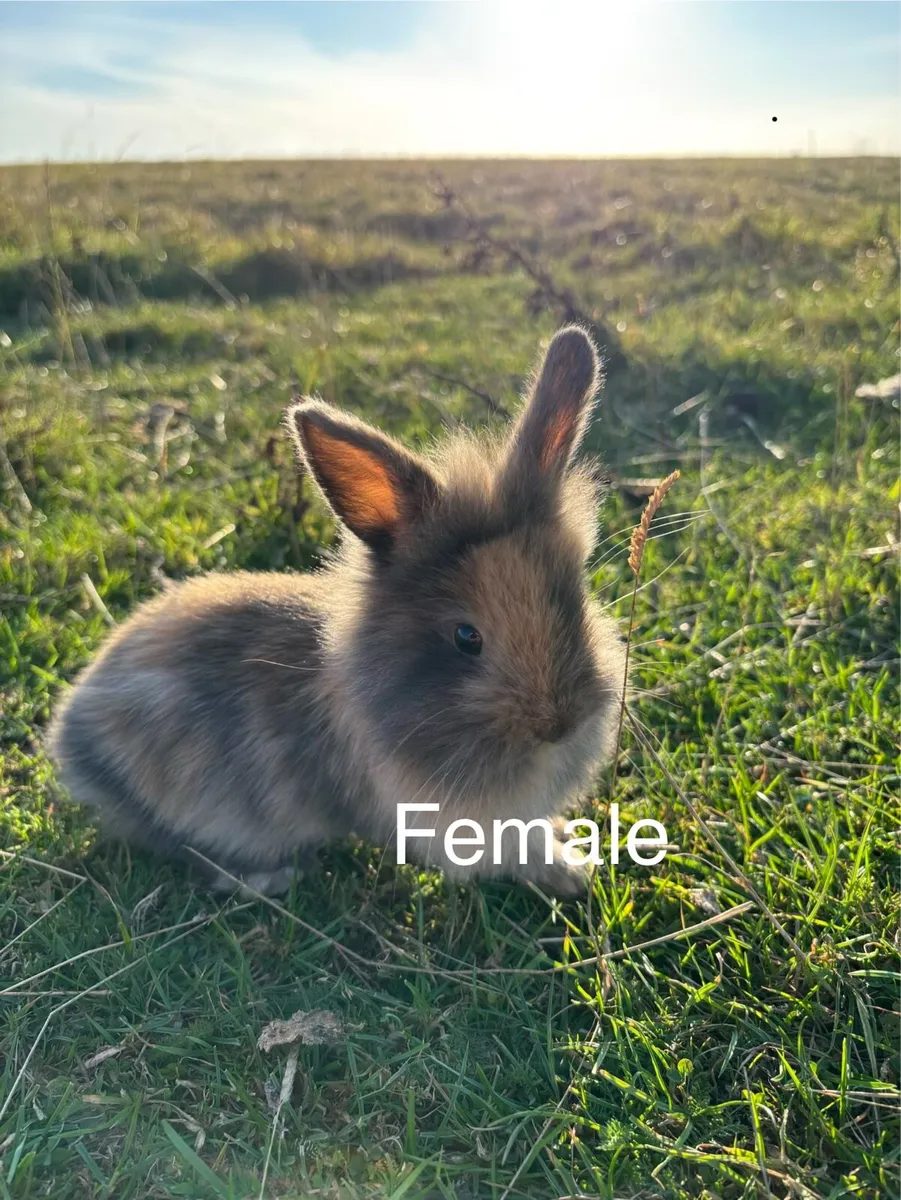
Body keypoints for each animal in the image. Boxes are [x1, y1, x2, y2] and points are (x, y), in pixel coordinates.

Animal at [48, 325, 627, 897]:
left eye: (574, 600)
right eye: (466, 637)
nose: (559, 723)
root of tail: (71, 735)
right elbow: (515, 851)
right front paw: (571, 871)